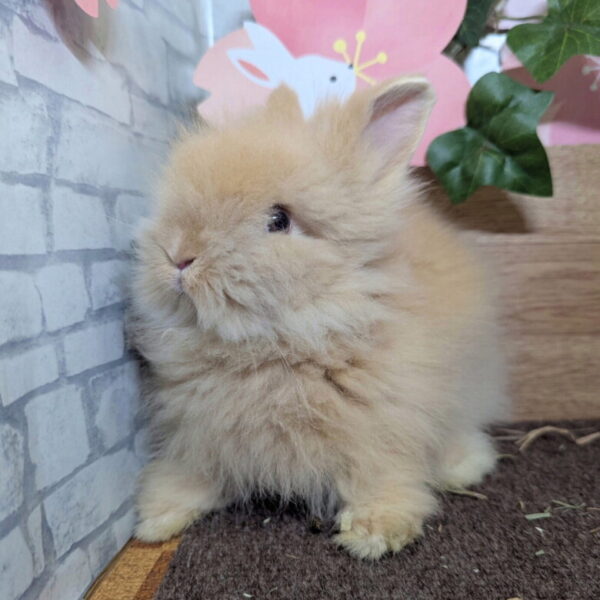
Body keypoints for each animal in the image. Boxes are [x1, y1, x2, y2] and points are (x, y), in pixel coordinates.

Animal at [130, 76, 509, 560]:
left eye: (279, 220)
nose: (178, 256)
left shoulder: (386, 430)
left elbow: (381, 475)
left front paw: (373, 534)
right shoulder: (200, 438)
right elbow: (194, 475)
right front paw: (156, 520)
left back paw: (463, 466)